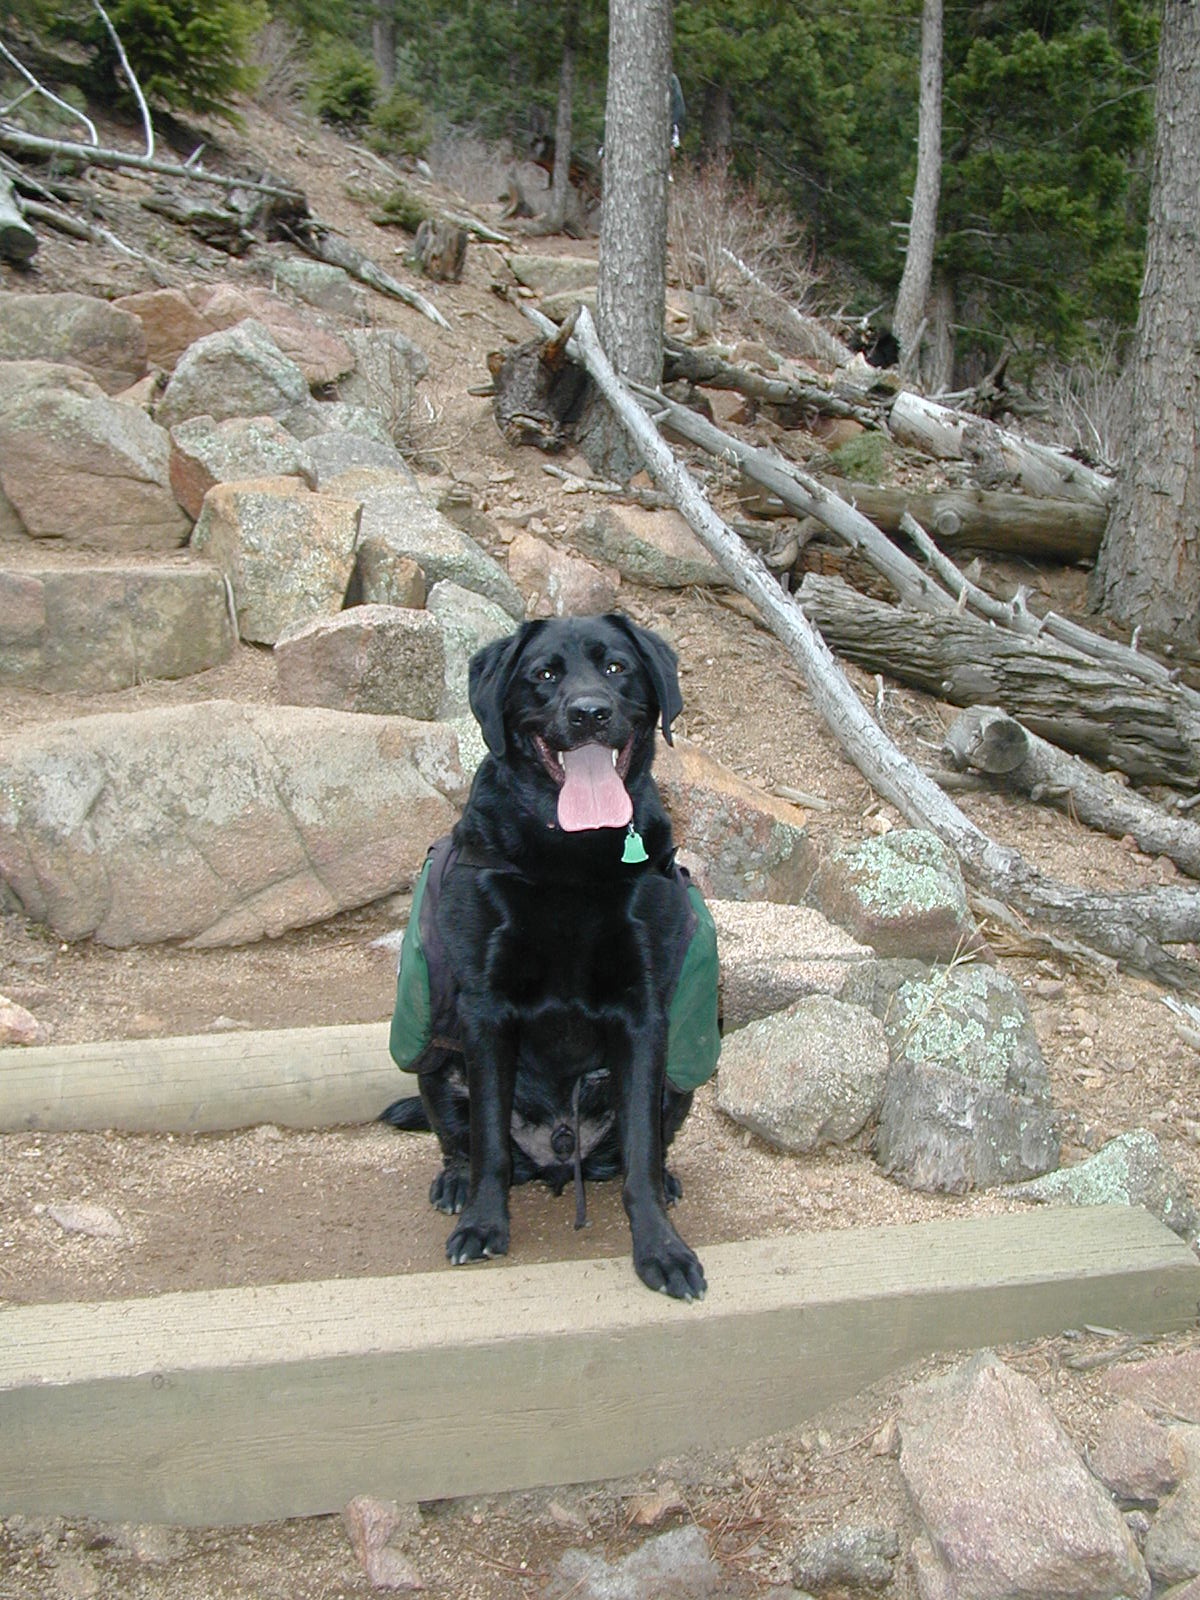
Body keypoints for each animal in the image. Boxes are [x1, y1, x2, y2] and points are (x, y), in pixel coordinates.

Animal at [383, 613, 718, 1300]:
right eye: (543, 674)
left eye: (616, 667)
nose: (589, 712)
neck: (572, 859)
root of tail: (559, 1156)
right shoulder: (485, 1012)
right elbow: (488, 1140)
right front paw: (484, 1223)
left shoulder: (644, 1017)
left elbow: (642, 1154)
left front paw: (661, 1249)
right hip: (438, 1062)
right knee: (459, 1138)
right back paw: (455, 1182)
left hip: (676, 1085)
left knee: (640, 1148)